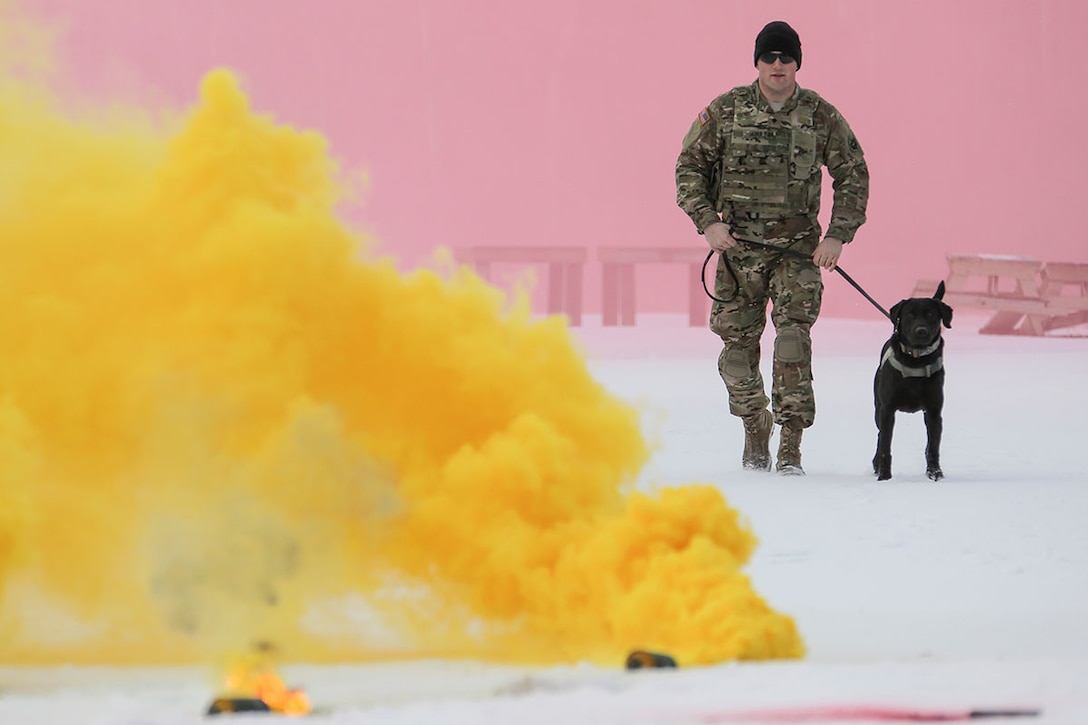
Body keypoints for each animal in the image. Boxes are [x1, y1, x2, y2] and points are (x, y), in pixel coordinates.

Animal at [874, 280, 953, 478]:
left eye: (931, 314)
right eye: (909, 315)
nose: (921, 331)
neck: (916, 359)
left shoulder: (934, 412)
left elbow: (933, 447)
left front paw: (935, 474)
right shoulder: (887, 410)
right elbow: (885, 446)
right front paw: (884, 477)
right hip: (877, 408)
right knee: (879, 437)